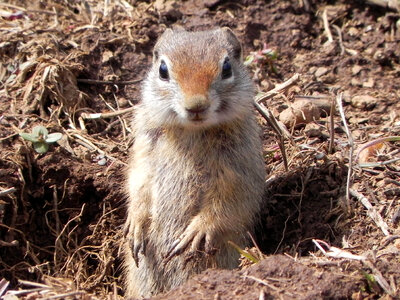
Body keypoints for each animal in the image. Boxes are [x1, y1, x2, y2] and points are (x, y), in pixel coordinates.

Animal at [123, 27, 264, 298]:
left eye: (227, 68)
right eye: (163, 70)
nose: (196, 106)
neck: (192, 130)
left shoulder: (240, 164)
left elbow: (230, 201)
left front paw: (197, 231)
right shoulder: (144, 146)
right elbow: (138, 183)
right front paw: (135, 223)